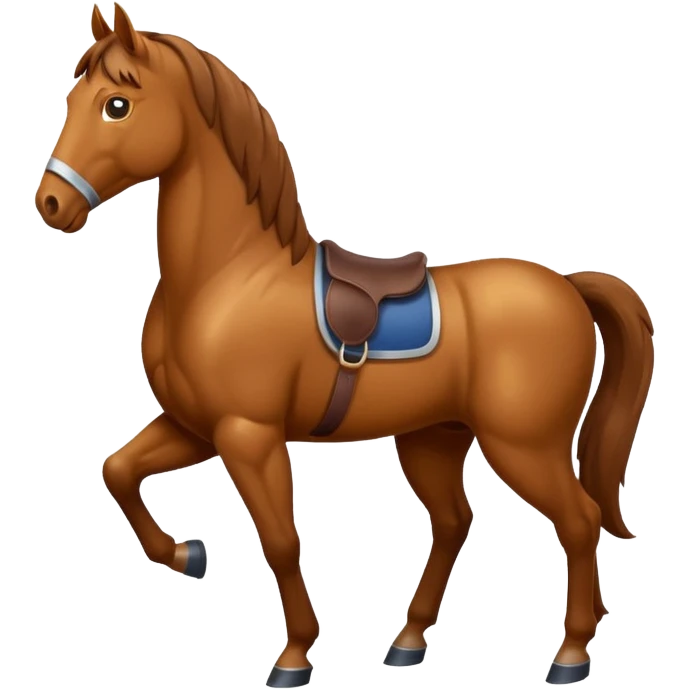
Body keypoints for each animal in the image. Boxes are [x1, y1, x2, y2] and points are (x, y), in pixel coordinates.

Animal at [33, 3, 655, 687]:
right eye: (73, 98)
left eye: (116, 105)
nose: (52, 203)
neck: (228, 276)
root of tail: (567, 285)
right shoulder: (195, 425)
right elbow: (117, 469)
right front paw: (188, 555)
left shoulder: (248, 436)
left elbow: (282, 540)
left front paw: (294, 657)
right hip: (434, 438)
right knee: (454, 524)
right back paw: (408, 643)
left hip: (524, 445)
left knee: (579, 520)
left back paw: (570, 655)